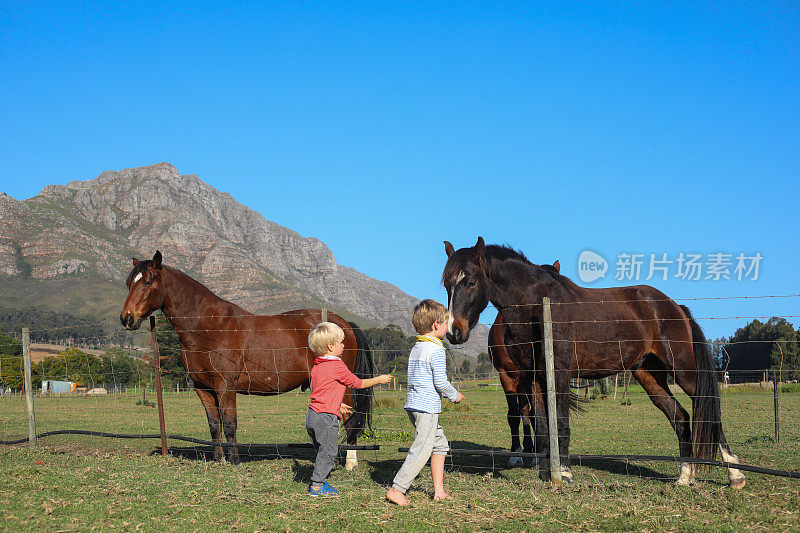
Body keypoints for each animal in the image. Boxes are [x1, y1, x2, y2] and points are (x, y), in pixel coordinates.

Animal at [121, 249, 376, 466]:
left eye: (148, 282)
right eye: (129, 283)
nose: (127, 318)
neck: (209, 327)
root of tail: (344, 323)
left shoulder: (225, 386)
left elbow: (229, 424)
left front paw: (233, 460)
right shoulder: (203, 387)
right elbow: (214, 425)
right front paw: (219, 459)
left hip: (343, 386)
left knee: (350, 417)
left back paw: (349, 463)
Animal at [444, 239, 744, 488]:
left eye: (471, 282)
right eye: (447, 285)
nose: (454, 332)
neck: (538, 307)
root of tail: (673, 306)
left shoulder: (559, 374)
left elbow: (560, 424)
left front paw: (563, 473)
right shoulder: (534, 377)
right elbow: (542, 426)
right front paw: (546, 473)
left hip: (684, 371)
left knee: (709, 411)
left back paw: (735, 474)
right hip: (648, 375)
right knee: (680, 417)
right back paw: (684, 475)